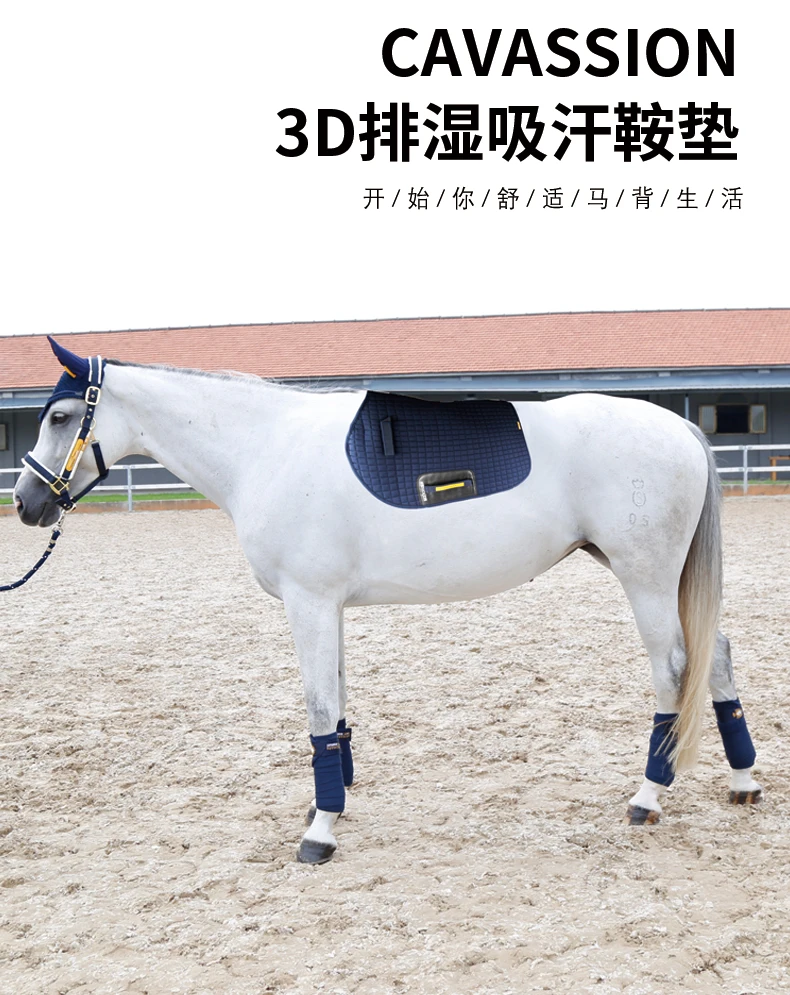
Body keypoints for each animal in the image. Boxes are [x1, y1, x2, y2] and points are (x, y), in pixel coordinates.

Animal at [13, 338, 762, 863]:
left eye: (60, 416)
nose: (25, 503)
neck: (266, 448)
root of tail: (679, 428)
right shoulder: (328, 607)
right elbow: (337, 708)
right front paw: (336, 801)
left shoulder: (308, 603)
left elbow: (319, 709)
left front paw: (319, 831)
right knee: (718, 657)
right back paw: (745, 781)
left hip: (645, 577)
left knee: (674, 670)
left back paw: (648, 796)